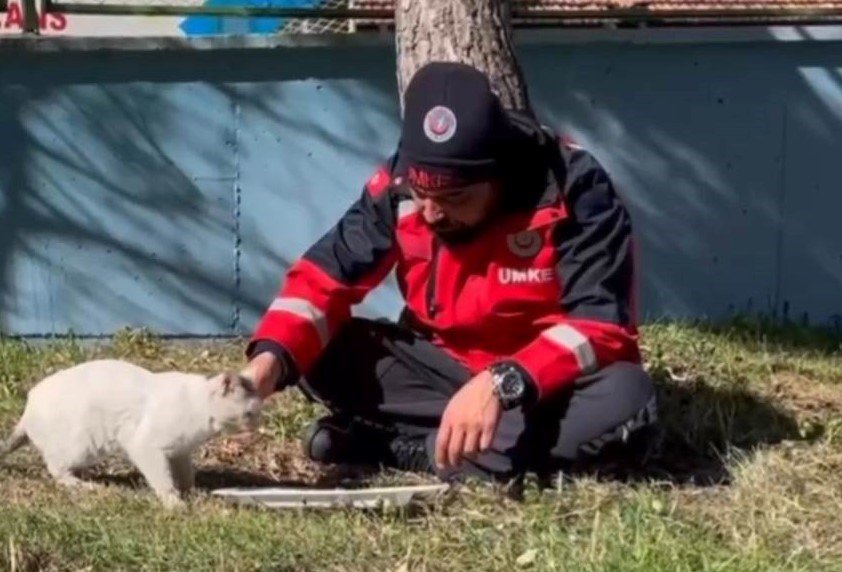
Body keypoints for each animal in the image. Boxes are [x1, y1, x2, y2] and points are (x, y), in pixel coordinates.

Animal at [0, 360, 260, 508]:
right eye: (249, 413)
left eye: (256, 413)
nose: (257, 425)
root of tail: (27, 409)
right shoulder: (147, 447)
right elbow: (164, 482)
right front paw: (175, 503)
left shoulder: (179, 453)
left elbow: (186, 476)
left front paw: (191, 494)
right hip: (83, 446)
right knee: (56, 469)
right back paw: (86, 485)